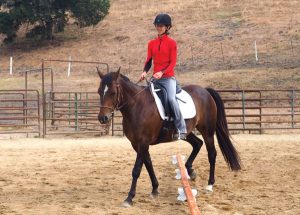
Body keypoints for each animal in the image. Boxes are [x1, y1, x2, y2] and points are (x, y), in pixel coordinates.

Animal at [96, 68, 241, 207]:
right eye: (99, 92)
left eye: (113, 92)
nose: (103, 118)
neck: (137, 106)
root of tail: (205, 91)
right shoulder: (137, 144)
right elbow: (148, 164)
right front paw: (155, 189)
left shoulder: (143, 143)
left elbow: (136, 170)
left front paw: (129, 198)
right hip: (185, 132)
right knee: (197, 144)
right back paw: (190, 170)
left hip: (208, 132)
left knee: (211, 154)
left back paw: (210, 184)